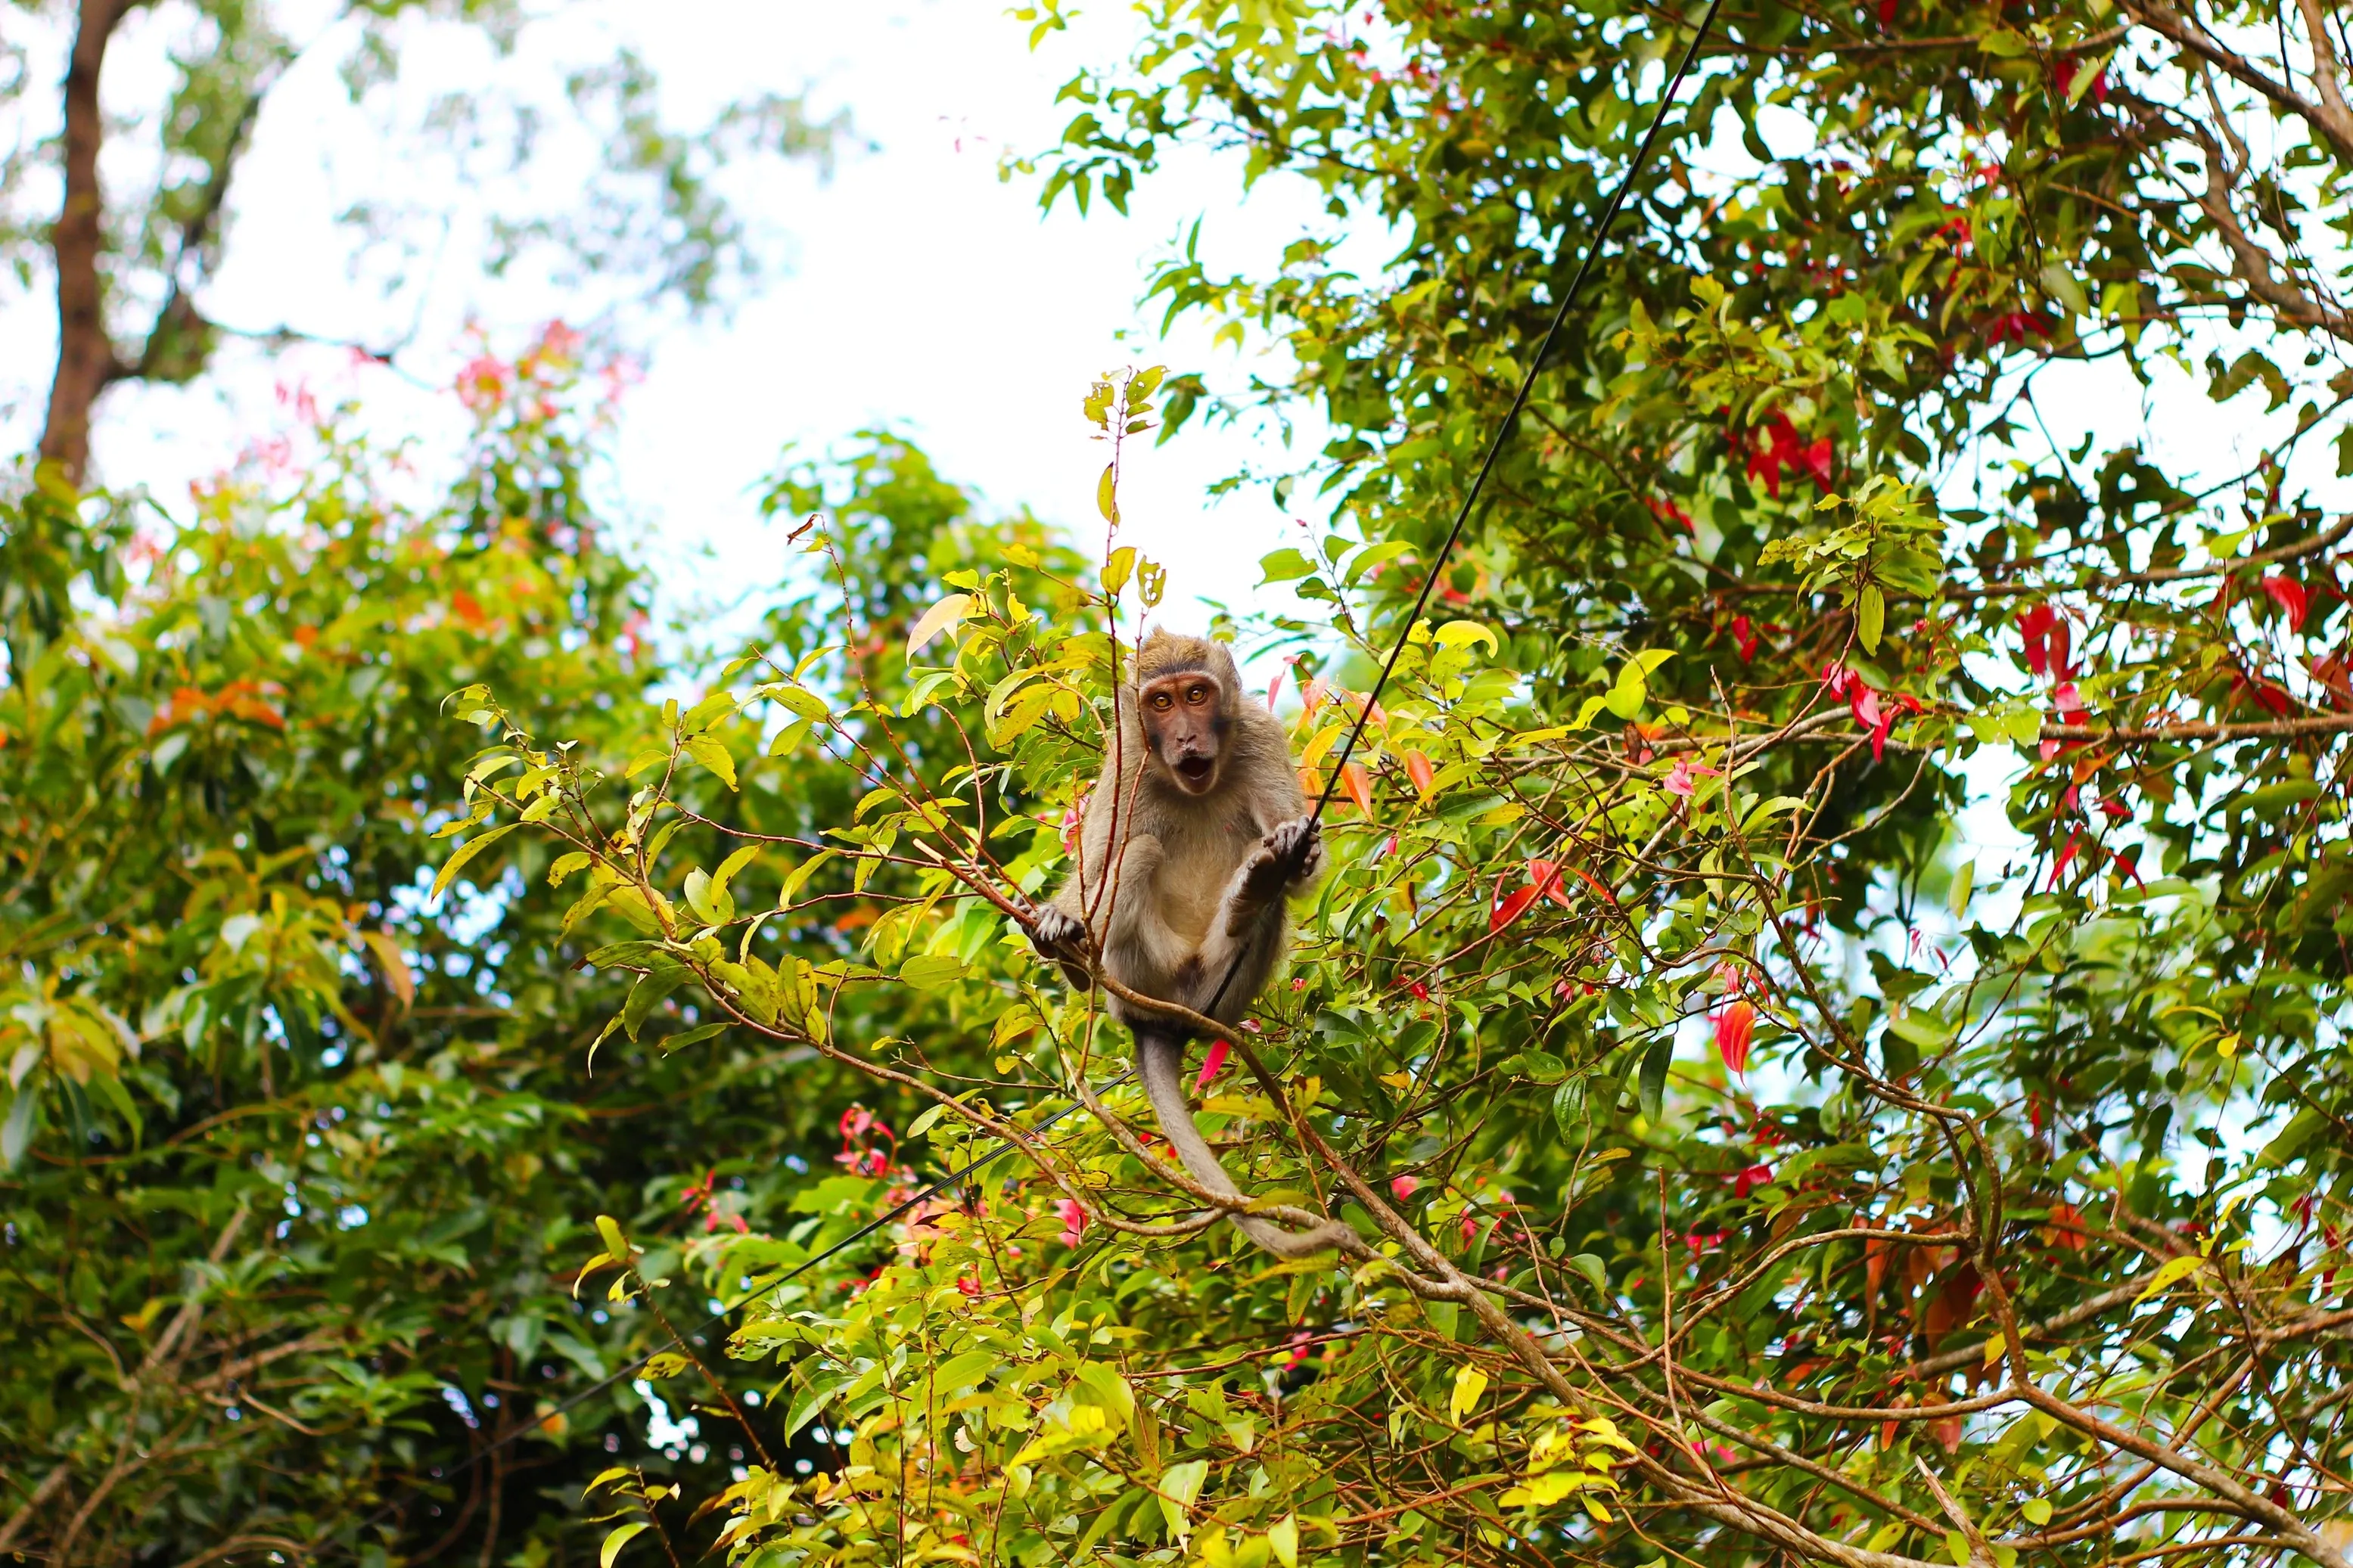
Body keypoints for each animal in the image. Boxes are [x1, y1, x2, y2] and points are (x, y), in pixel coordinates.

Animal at [1027, 628, 1358, 1259]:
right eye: (1161, 702)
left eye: (1197, 694)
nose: (1184, 737)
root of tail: (1164, 1019)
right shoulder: (1128, 759)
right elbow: (1100, 861)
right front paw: (1060, 919)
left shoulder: (1260, 736)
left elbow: (1302, 870)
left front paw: (1293, 849)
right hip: (1137, 974)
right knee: (1137, 853)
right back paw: (1077, 964)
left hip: (1220, 990)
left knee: (1263, 891)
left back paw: (1252, 893)